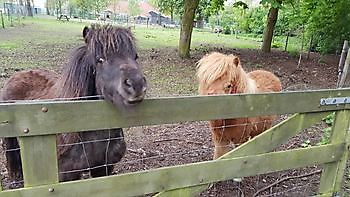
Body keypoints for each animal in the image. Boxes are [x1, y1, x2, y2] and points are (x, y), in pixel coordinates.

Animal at [0, 24, 148, 182]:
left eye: (135, 56)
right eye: (100, 59)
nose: (136, 84)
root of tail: (16, 75)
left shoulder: (103, 168)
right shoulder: (67, 175)